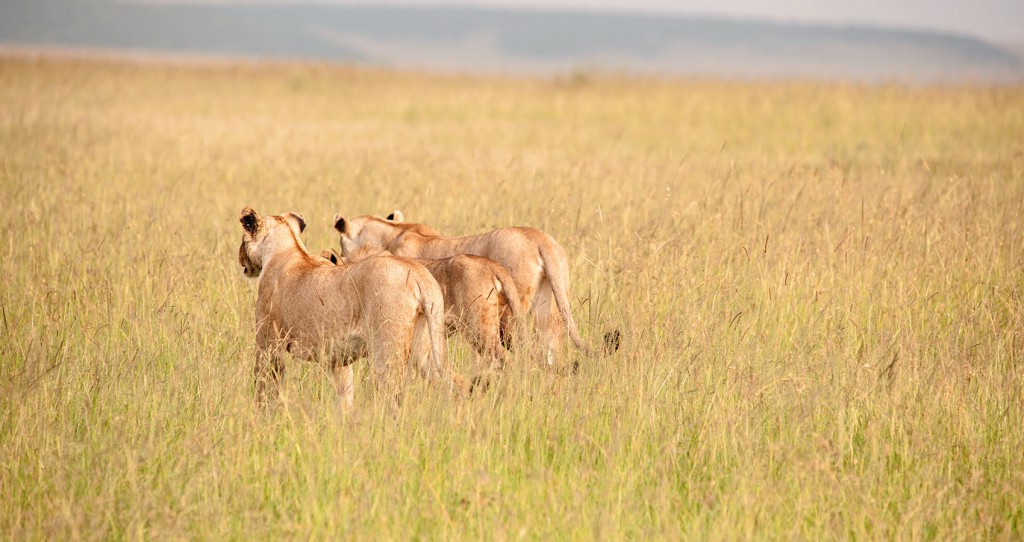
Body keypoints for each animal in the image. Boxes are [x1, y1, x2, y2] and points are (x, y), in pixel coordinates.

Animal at [235, 204, 464, 407]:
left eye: (243, 238)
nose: (240, 258)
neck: (287, 250)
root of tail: (419, 274)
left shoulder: (269, 344)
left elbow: (264, 389)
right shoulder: (337, 359)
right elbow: (345, 396)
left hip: (387, 349)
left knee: (394, 395)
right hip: (426, 346)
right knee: (452, 382)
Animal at [335, 209, 610, 364]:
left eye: (340, 244)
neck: (393, 233)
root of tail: (541, 239)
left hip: (509, 315)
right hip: (548, 307)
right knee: (551, 346)